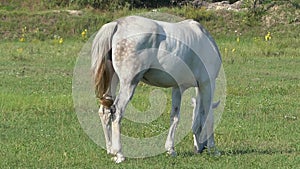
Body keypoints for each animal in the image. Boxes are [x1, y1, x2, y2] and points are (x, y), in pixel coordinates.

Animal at [92, 15, 221, 162]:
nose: (200, 148)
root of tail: (117, 24)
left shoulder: (178, 87)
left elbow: (175, 117)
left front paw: (170, 149)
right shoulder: (207, 84)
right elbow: (208, 117)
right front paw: (214, 149)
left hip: (112, 82)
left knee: (105, 111)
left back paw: (110, 149)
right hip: (128, 84)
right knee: (117, 111)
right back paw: (119, 154)